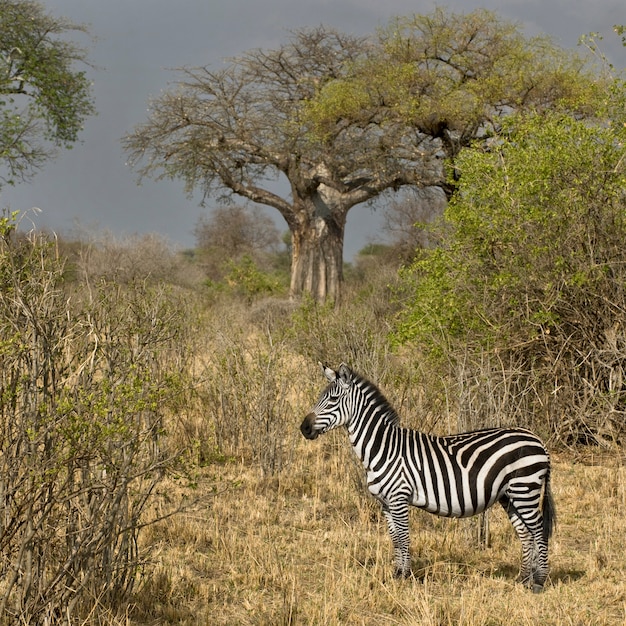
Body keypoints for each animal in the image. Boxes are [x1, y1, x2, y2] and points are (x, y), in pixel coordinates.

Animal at [300, 360, 552, 588]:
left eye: (333, 400)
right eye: (320, 397)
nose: (304, 428)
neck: (383, 447)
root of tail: (537, 440)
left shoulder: (399, 497)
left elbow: (403, 537)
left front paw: (406, 578)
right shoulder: (385, 503)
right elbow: (395, 539)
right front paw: (397, 575)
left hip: (525, 489)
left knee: (539, 531)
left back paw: (539, 582)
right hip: (510, 495)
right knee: (526, 533)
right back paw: (523, 580)